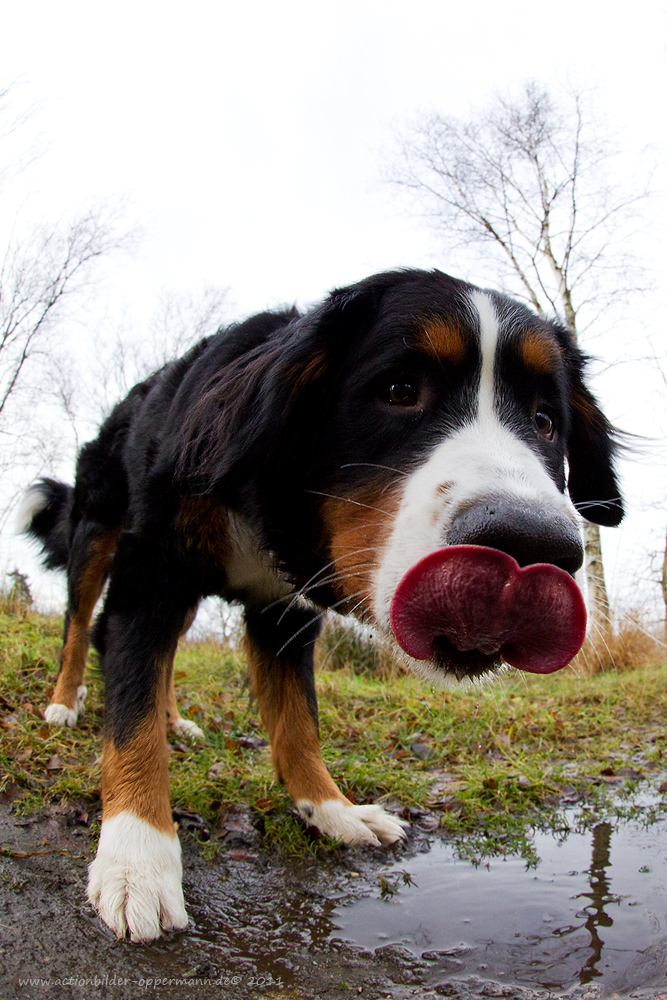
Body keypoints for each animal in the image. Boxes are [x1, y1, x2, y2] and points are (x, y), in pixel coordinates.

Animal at [22, 266, 628, 936]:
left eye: (545, 422)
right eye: (399, 389)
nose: (531, 545)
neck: (270, 494)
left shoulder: (284, 613)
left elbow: (297, 722)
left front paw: (333, 810)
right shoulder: (150, 570)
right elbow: (132, 714)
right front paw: (137, 859)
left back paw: (175, 718)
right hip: (98, 528)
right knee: (80, 624)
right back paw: (64, 703)